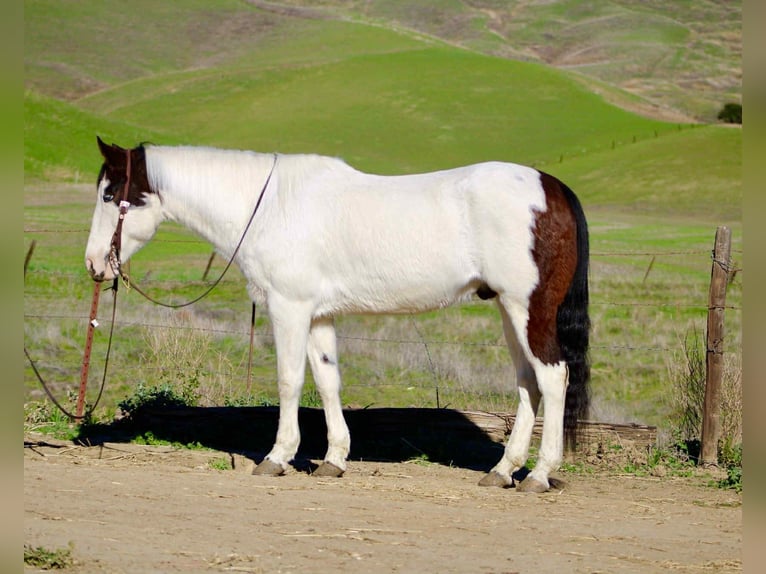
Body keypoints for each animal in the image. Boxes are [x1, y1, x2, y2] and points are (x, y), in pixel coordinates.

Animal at [85, 136, 590, 493]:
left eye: (110, 195)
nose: (93, 264)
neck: (270, 206)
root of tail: (551, 188)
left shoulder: (288, 307)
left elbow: (289, 380)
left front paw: (278, 457)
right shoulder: (317, 316)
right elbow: (328, 381)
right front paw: (333, 459)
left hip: (528, 308)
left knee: (552, 377)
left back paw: (538, 475)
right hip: (508, 309)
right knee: (527, 383)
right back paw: (503, 470)